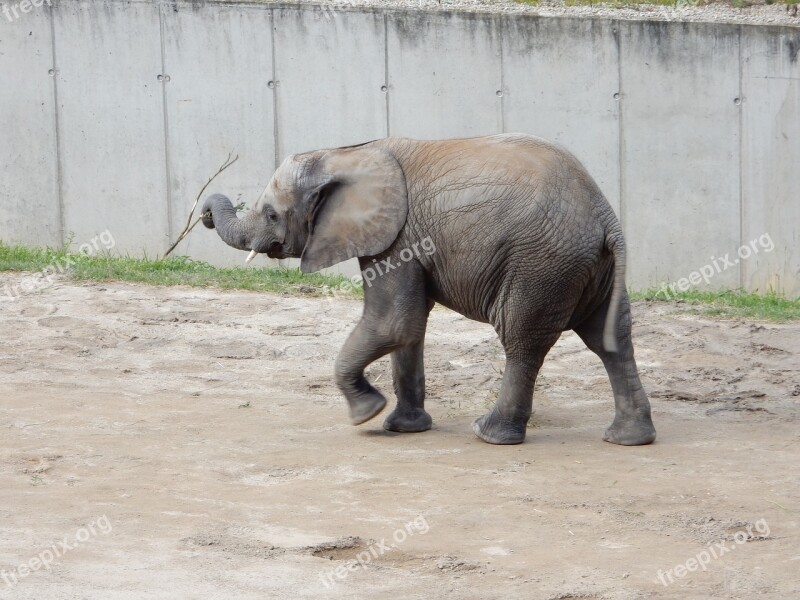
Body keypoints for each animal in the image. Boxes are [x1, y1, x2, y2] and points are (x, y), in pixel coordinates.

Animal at [202, 135, 656, 446]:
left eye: (271, 214)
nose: (205, 214)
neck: (344, 152)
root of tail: (605, 215)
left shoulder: (395, 238)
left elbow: (393, 324)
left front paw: (365, 415)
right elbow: (409, 328)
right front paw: (402, 428)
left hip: (540, 263)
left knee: (522, 341)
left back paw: (489, 434)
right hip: (588, 267)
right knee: (611, 338)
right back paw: (629, 438)